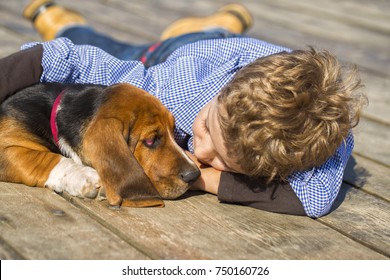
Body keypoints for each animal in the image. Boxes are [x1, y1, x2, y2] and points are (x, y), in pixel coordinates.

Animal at [0, 82, 201, 207]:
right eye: (151, 140)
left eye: (173, 131)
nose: (195, 175)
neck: (59, 114)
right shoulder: (6, 147)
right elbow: (46, 159)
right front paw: (87, 178)